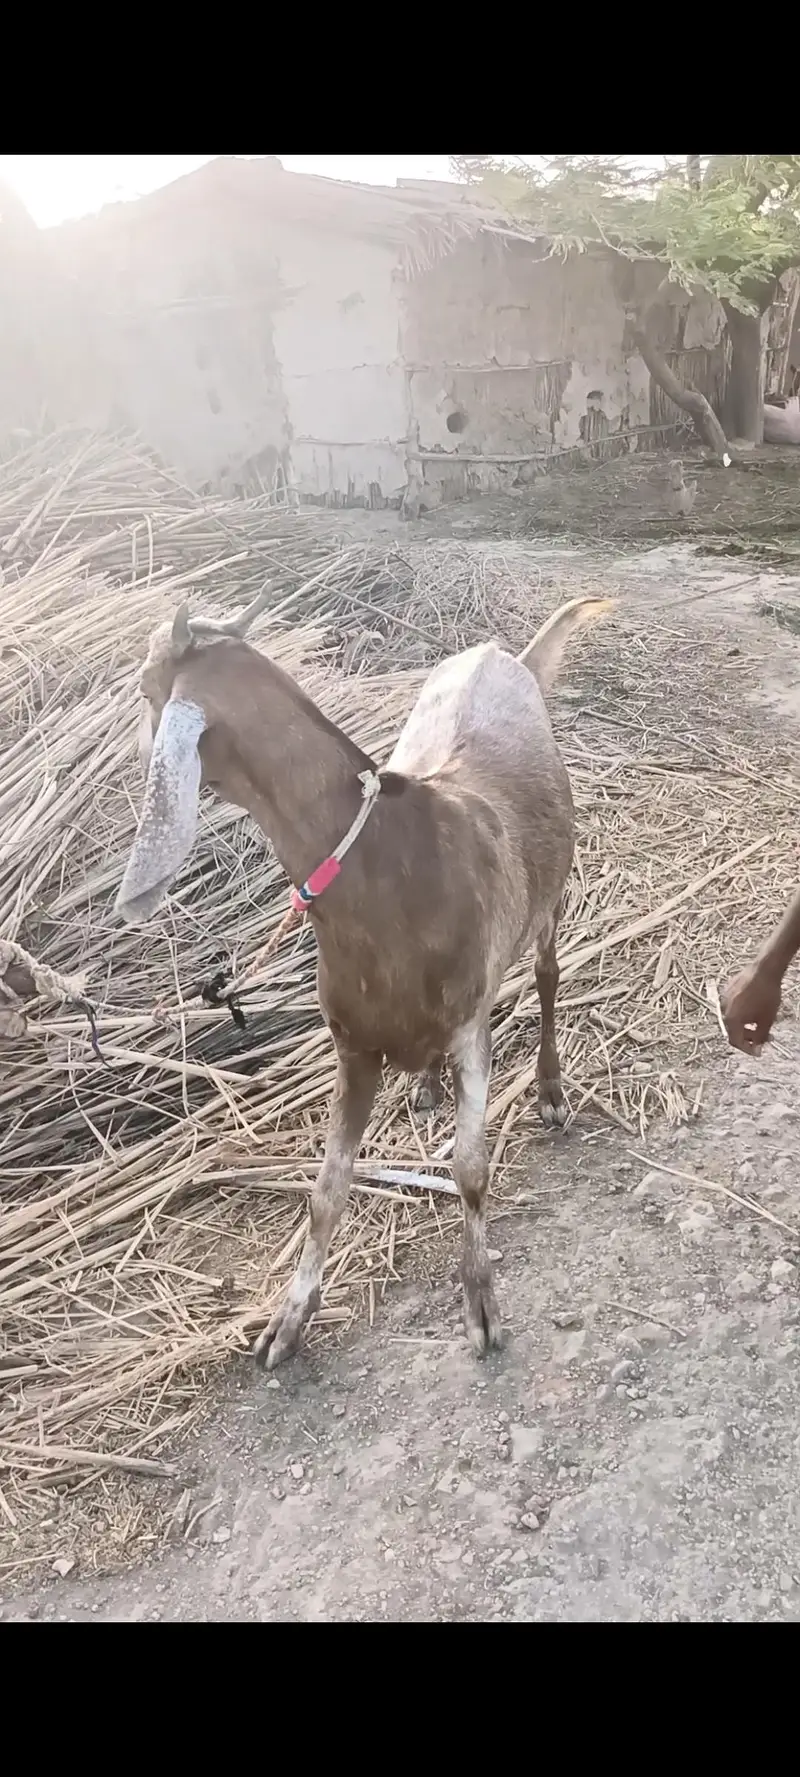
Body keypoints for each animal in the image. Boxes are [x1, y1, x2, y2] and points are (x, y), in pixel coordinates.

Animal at [116, 587, 615, 1367]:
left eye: (146, 689)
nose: (125, 756)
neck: (390, 868)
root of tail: (503, 656)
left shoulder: (471, 1020)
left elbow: (470, 1168)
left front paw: (481, 1305)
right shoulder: (350, 1043)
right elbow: (325, 1189)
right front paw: (287, 1320)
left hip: (548, 901)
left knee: (547, 976)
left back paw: (551, 1091)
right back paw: (427, 1088)